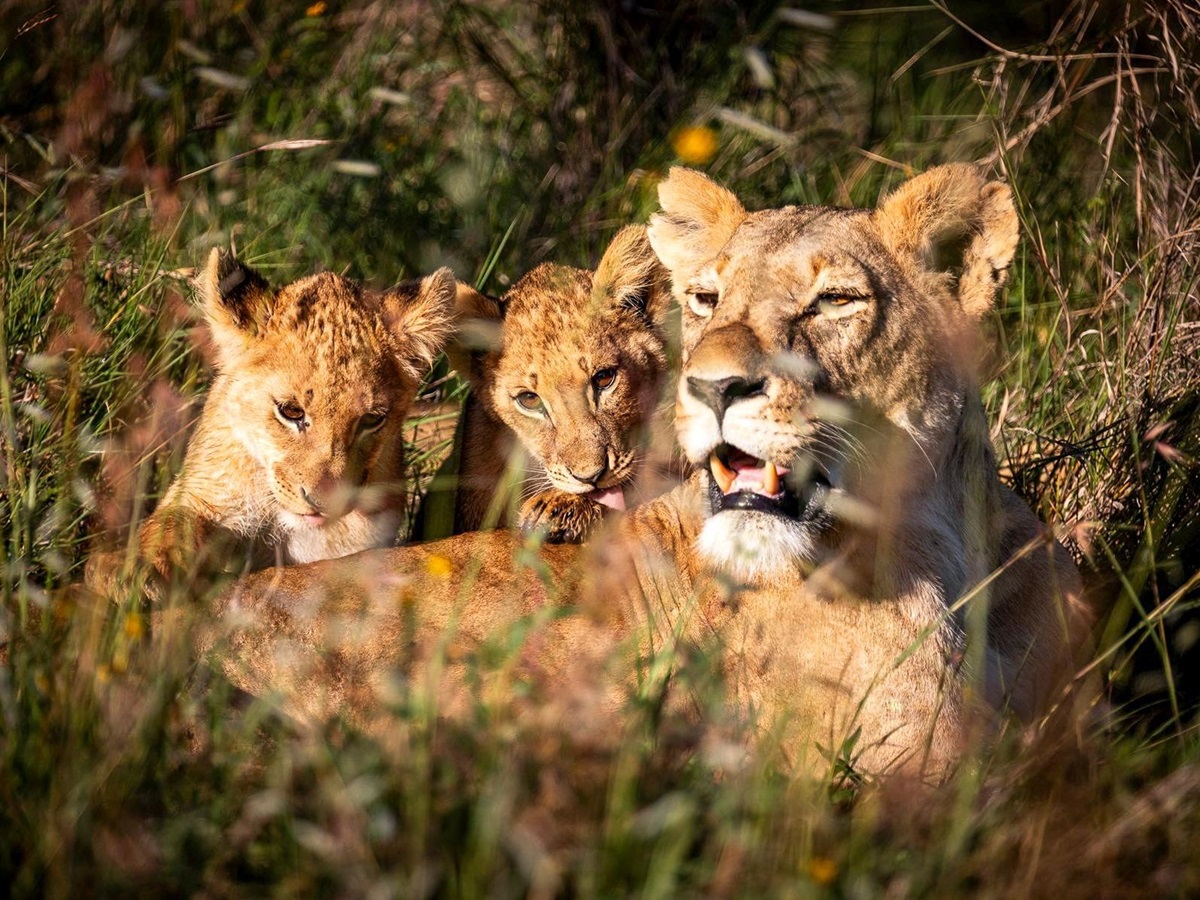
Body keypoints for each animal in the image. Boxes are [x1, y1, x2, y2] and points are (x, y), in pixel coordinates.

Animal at [86, 249, 463, 598]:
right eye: (291, 412)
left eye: (372, 420)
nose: (322, 503)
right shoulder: (206, 492)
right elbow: (172, 524)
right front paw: (132, 569)